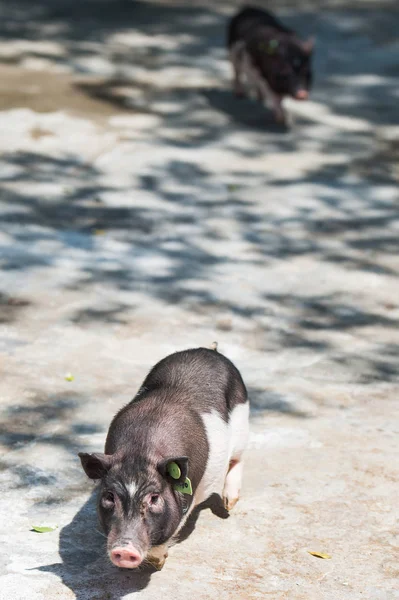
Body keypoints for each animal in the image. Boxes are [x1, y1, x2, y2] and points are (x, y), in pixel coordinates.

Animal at [79, 344, 250, 568]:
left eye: (154, 498)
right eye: (109, 496)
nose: (124, 550)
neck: (140, 450)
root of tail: (208, 349)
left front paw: (158, 563)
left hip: (242, 424)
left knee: (238, 458)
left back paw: (229, 504)